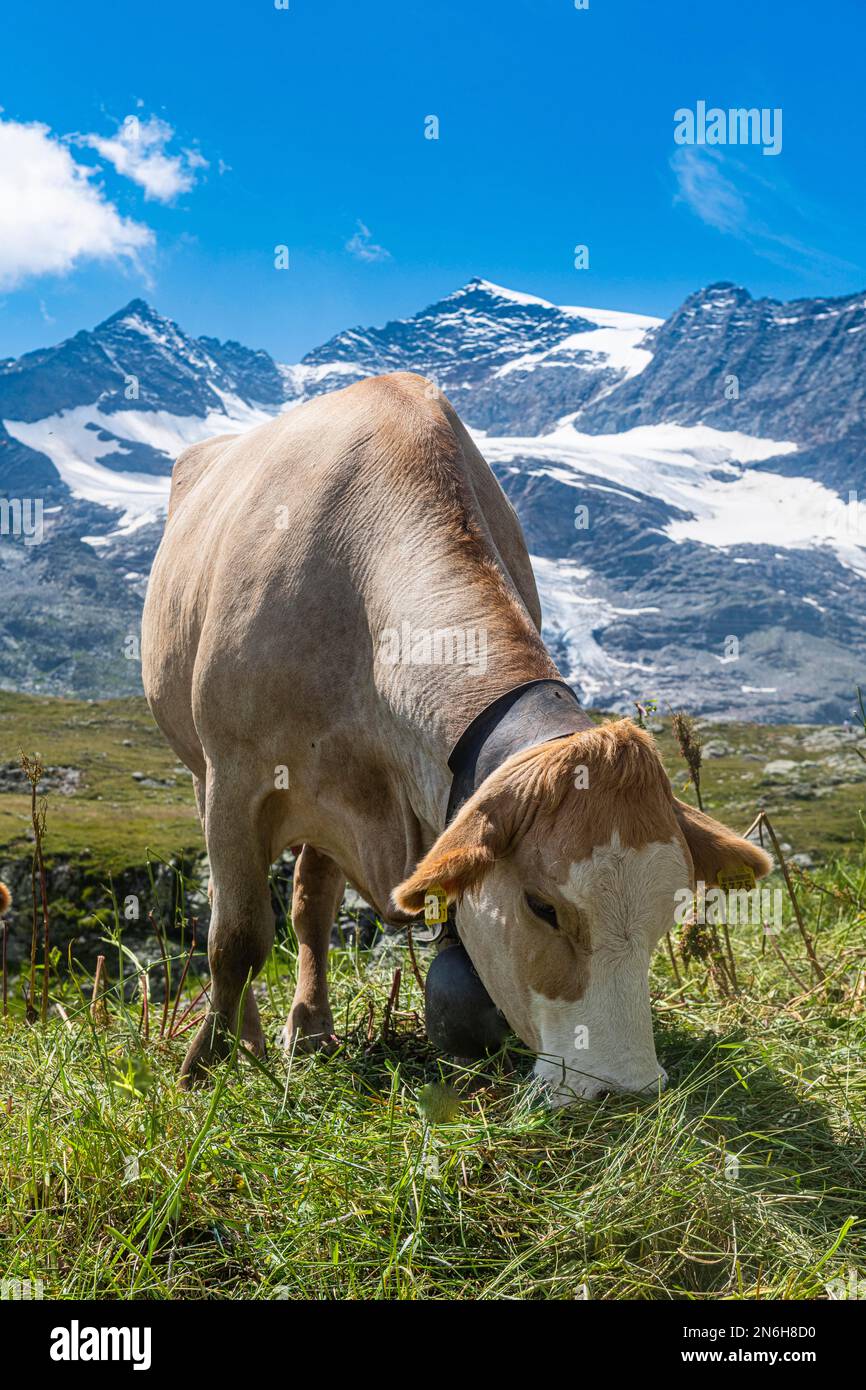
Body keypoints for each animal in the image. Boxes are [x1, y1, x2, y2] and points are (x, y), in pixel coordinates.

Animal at [142, 372, 771, 1099]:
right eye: (542, 906)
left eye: (666, 913)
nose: (624, 1087)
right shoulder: (235, 778)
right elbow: (237, 938)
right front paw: (204, 1068)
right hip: (200, 769)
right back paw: (252, 1037)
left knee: (311, 904)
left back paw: (312, 1027)